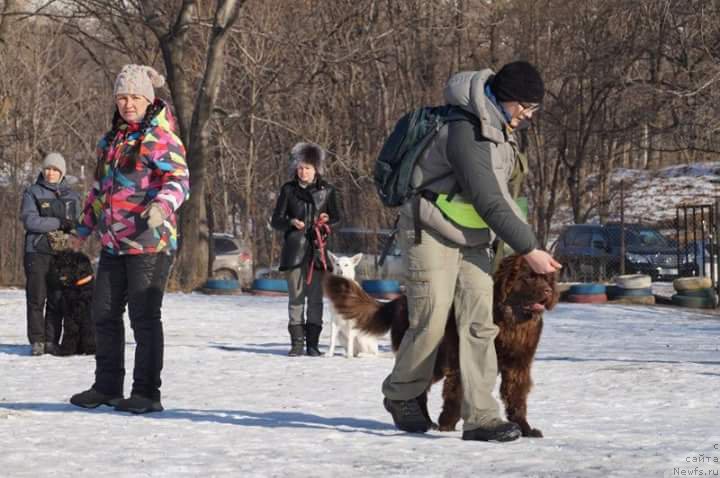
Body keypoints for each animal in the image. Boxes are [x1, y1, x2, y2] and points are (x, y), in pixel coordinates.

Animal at [324, 254, 560, 436]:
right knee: (416, 388)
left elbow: (516, 398)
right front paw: (447, 424)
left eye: (548, 279)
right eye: (527, 277)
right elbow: (456, 394)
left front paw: (525, 428)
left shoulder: (518, 365)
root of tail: (399, 300)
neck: (510, 321)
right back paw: (420, 421)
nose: (548, 291)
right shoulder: (460, 360)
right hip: (430, 357)